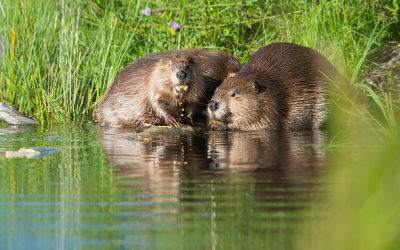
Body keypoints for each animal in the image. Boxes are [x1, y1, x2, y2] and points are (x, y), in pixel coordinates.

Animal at [208, 42, 348, 131]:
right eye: (216, 90)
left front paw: (220, 126)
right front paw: (213, 124)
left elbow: (261, 125)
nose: (212, 104)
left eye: (233, 94)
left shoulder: (270, 107)